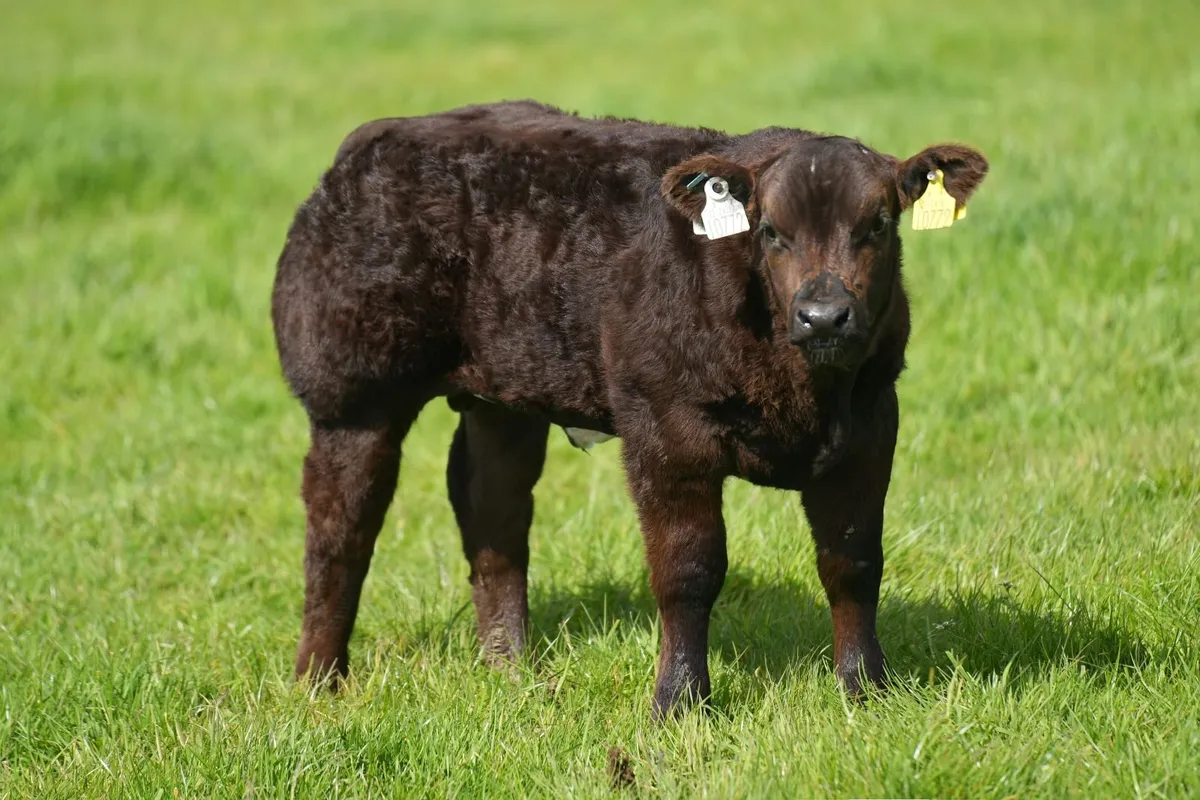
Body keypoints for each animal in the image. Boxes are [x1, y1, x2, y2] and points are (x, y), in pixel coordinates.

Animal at [270, 100, 988, 717]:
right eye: (770, 232)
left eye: (878, 225)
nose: (824, 316)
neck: (802, 392)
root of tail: (375, 138)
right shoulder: (665, 429)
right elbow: (688, 571)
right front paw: (680, 702)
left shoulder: (871, 423)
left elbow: (853, 561)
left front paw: (865, 689)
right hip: (352, 393)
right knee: (340, 532)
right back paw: (319, 681)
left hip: (507, 395)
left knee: (493, 511)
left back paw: (512, 666)